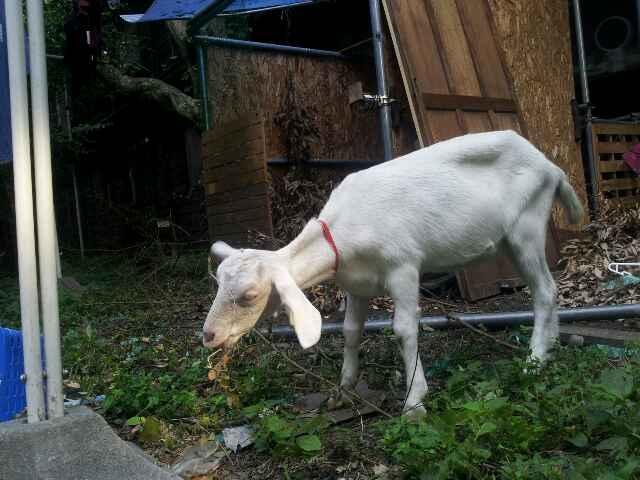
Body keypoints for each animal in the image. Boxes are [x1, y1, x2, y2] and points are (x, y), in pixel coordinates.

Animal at [202, 129, 584, 414]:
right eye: (219, 284)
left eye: (250, 295)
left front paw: (415, 402)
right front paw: (344, 388)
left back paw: (534, 360)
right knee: (547, 291)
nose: (208, 335)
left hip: (527, 228)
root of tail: (552, 168)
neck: (344, 229)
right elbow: (350, 331)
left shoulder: (404, 268)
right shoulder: (356, 282)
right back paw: (550, 346)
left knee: (544, 291)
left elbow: (403, 329)